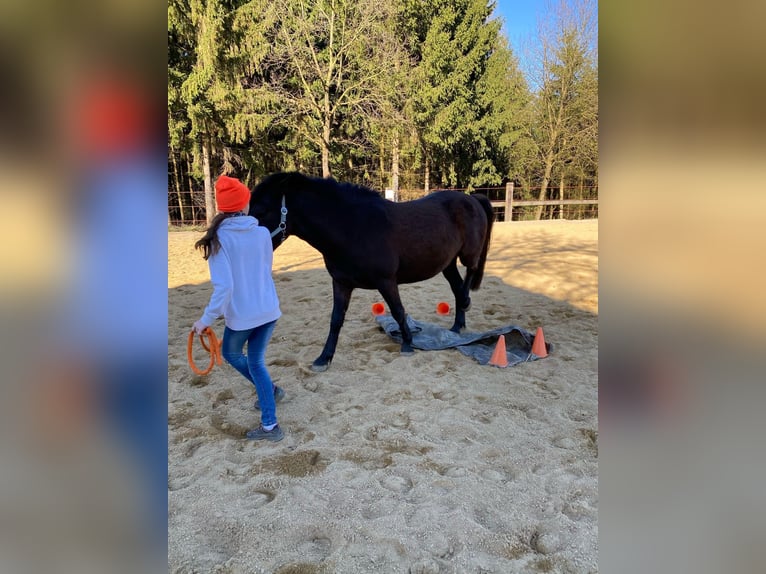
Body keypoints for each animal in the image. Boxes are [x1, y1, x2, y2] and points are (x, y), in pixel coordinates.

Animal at [249, 172, 496, 374]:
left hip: (467, 254)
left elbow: (398, 311)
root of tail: (472, 199)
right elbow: (335, 320)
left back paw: (465, 303)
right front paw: (323, 358)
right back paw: (456, 326)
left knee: (470, 274)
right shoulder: (341, 283)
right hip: (448, 264)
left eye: (261, 210)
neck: (353, 228)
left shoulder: (386, 281)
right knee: (456, 286)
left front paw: (407, 344)